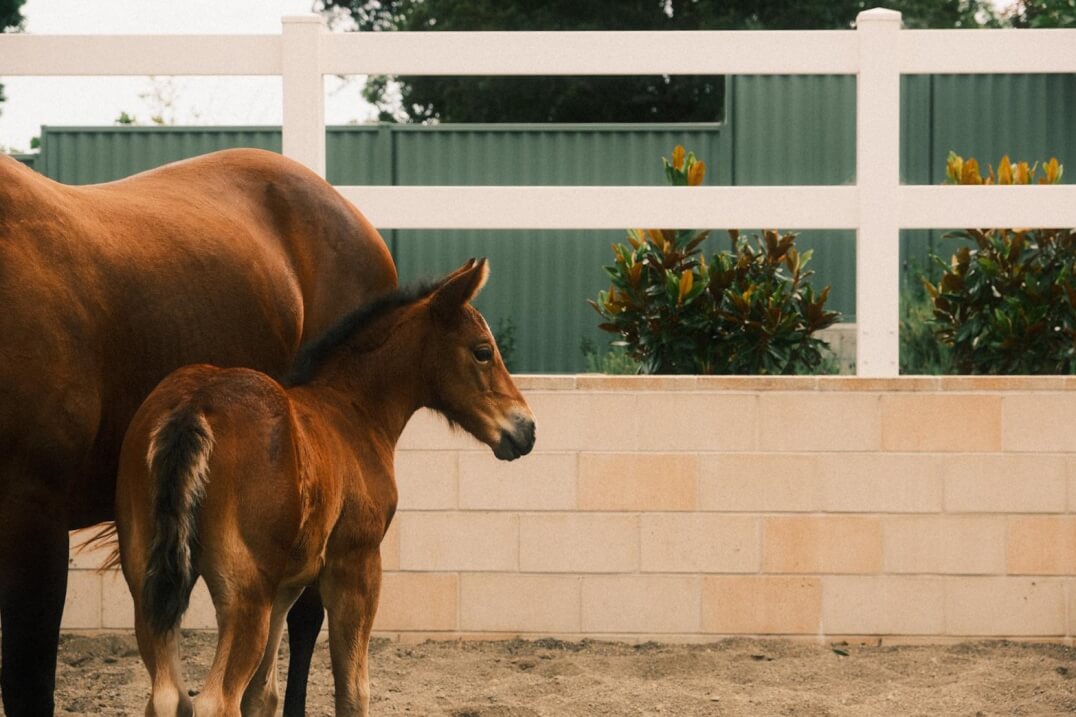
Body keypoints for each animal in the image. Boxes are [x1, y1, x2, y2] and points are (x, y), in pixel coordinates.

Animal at [115, 259, 535, 714]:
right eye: (482, 351)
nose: (526, 429)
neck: (353, 410)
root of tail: (196, 405)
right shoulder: (356, 565)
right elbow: (353, 690)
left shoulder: (285, 587)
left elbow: (263, 694)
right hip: (243, 594)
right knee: (214, 701)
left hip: (148, 590)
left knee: (169, 696)